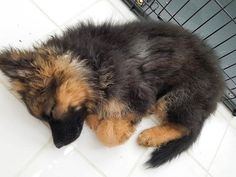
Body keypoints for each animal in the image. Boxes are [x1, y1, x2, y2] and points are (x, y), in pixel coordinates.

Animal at [0, 20, 225, 167]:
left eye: (53, 110)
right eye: (42, 119)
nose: (58, 145)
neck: (89, 62)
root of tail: (218, 90)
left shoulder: (137, 93)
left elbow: (107, 134)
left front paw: (117, 128)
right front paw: (95, 117)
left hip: (179, 96)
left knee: (186, 127)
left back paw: (151, 135)